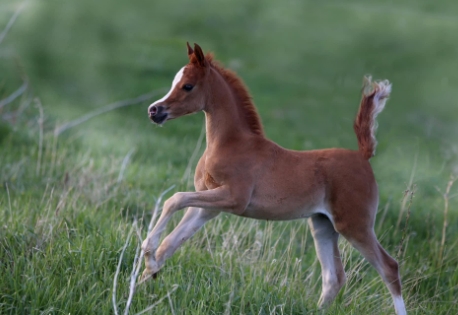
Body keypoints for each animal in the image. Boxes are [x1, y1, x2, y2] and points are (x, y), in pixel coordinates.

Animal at [141, 43, 406, 315]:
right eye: (174, 82)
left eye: (188, 86)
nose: (154, 110)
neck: (231, 144)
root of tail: (363, 156)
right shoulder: (208, 208)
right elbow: (170, 242)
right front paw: (147, 278)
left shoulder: (233, 199)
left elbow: (174, 199)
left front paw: (147, 259)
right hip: (322, 224)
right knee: (334, 277)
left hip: (354, 224)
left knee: (389, 267)